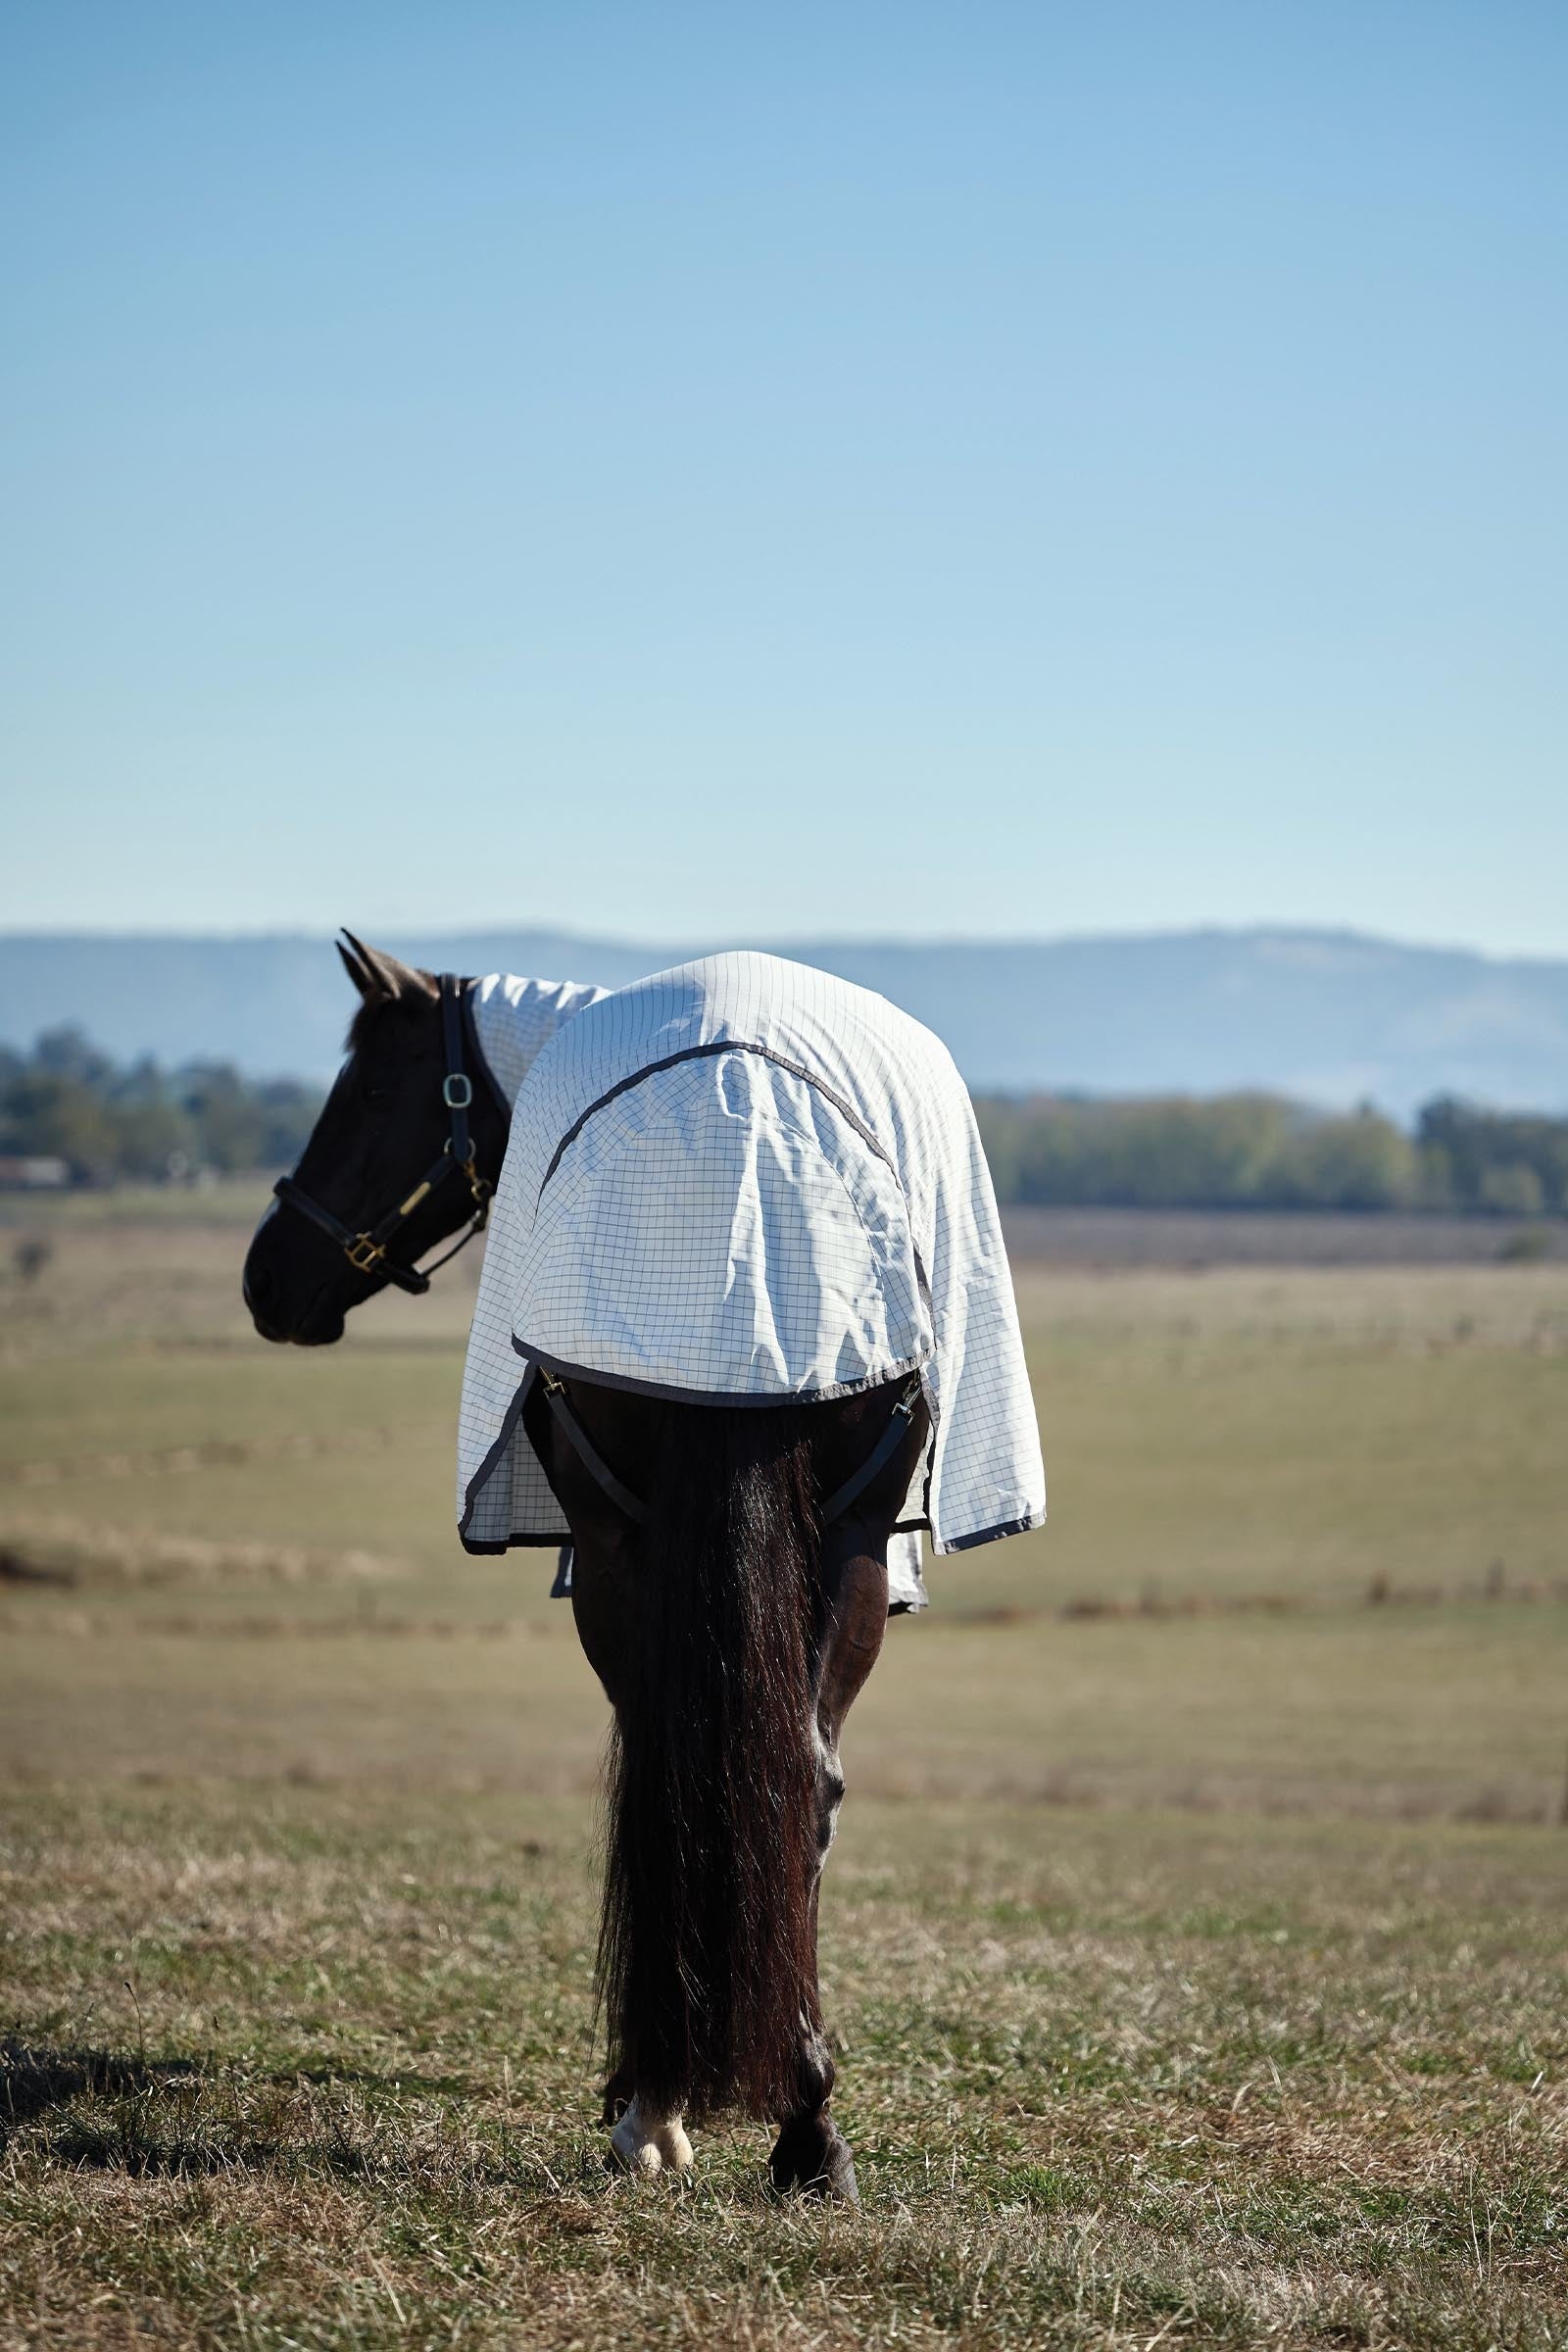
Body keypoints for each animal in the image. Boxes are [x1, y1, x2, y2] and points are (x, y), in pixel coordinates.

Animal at [243, 936, 938, 2199]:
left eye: (366, 1091)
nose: (269, 1279)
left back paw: (670, 2100)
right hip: (841, 1539)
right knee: (793, 1778)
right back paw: (793, 2124)